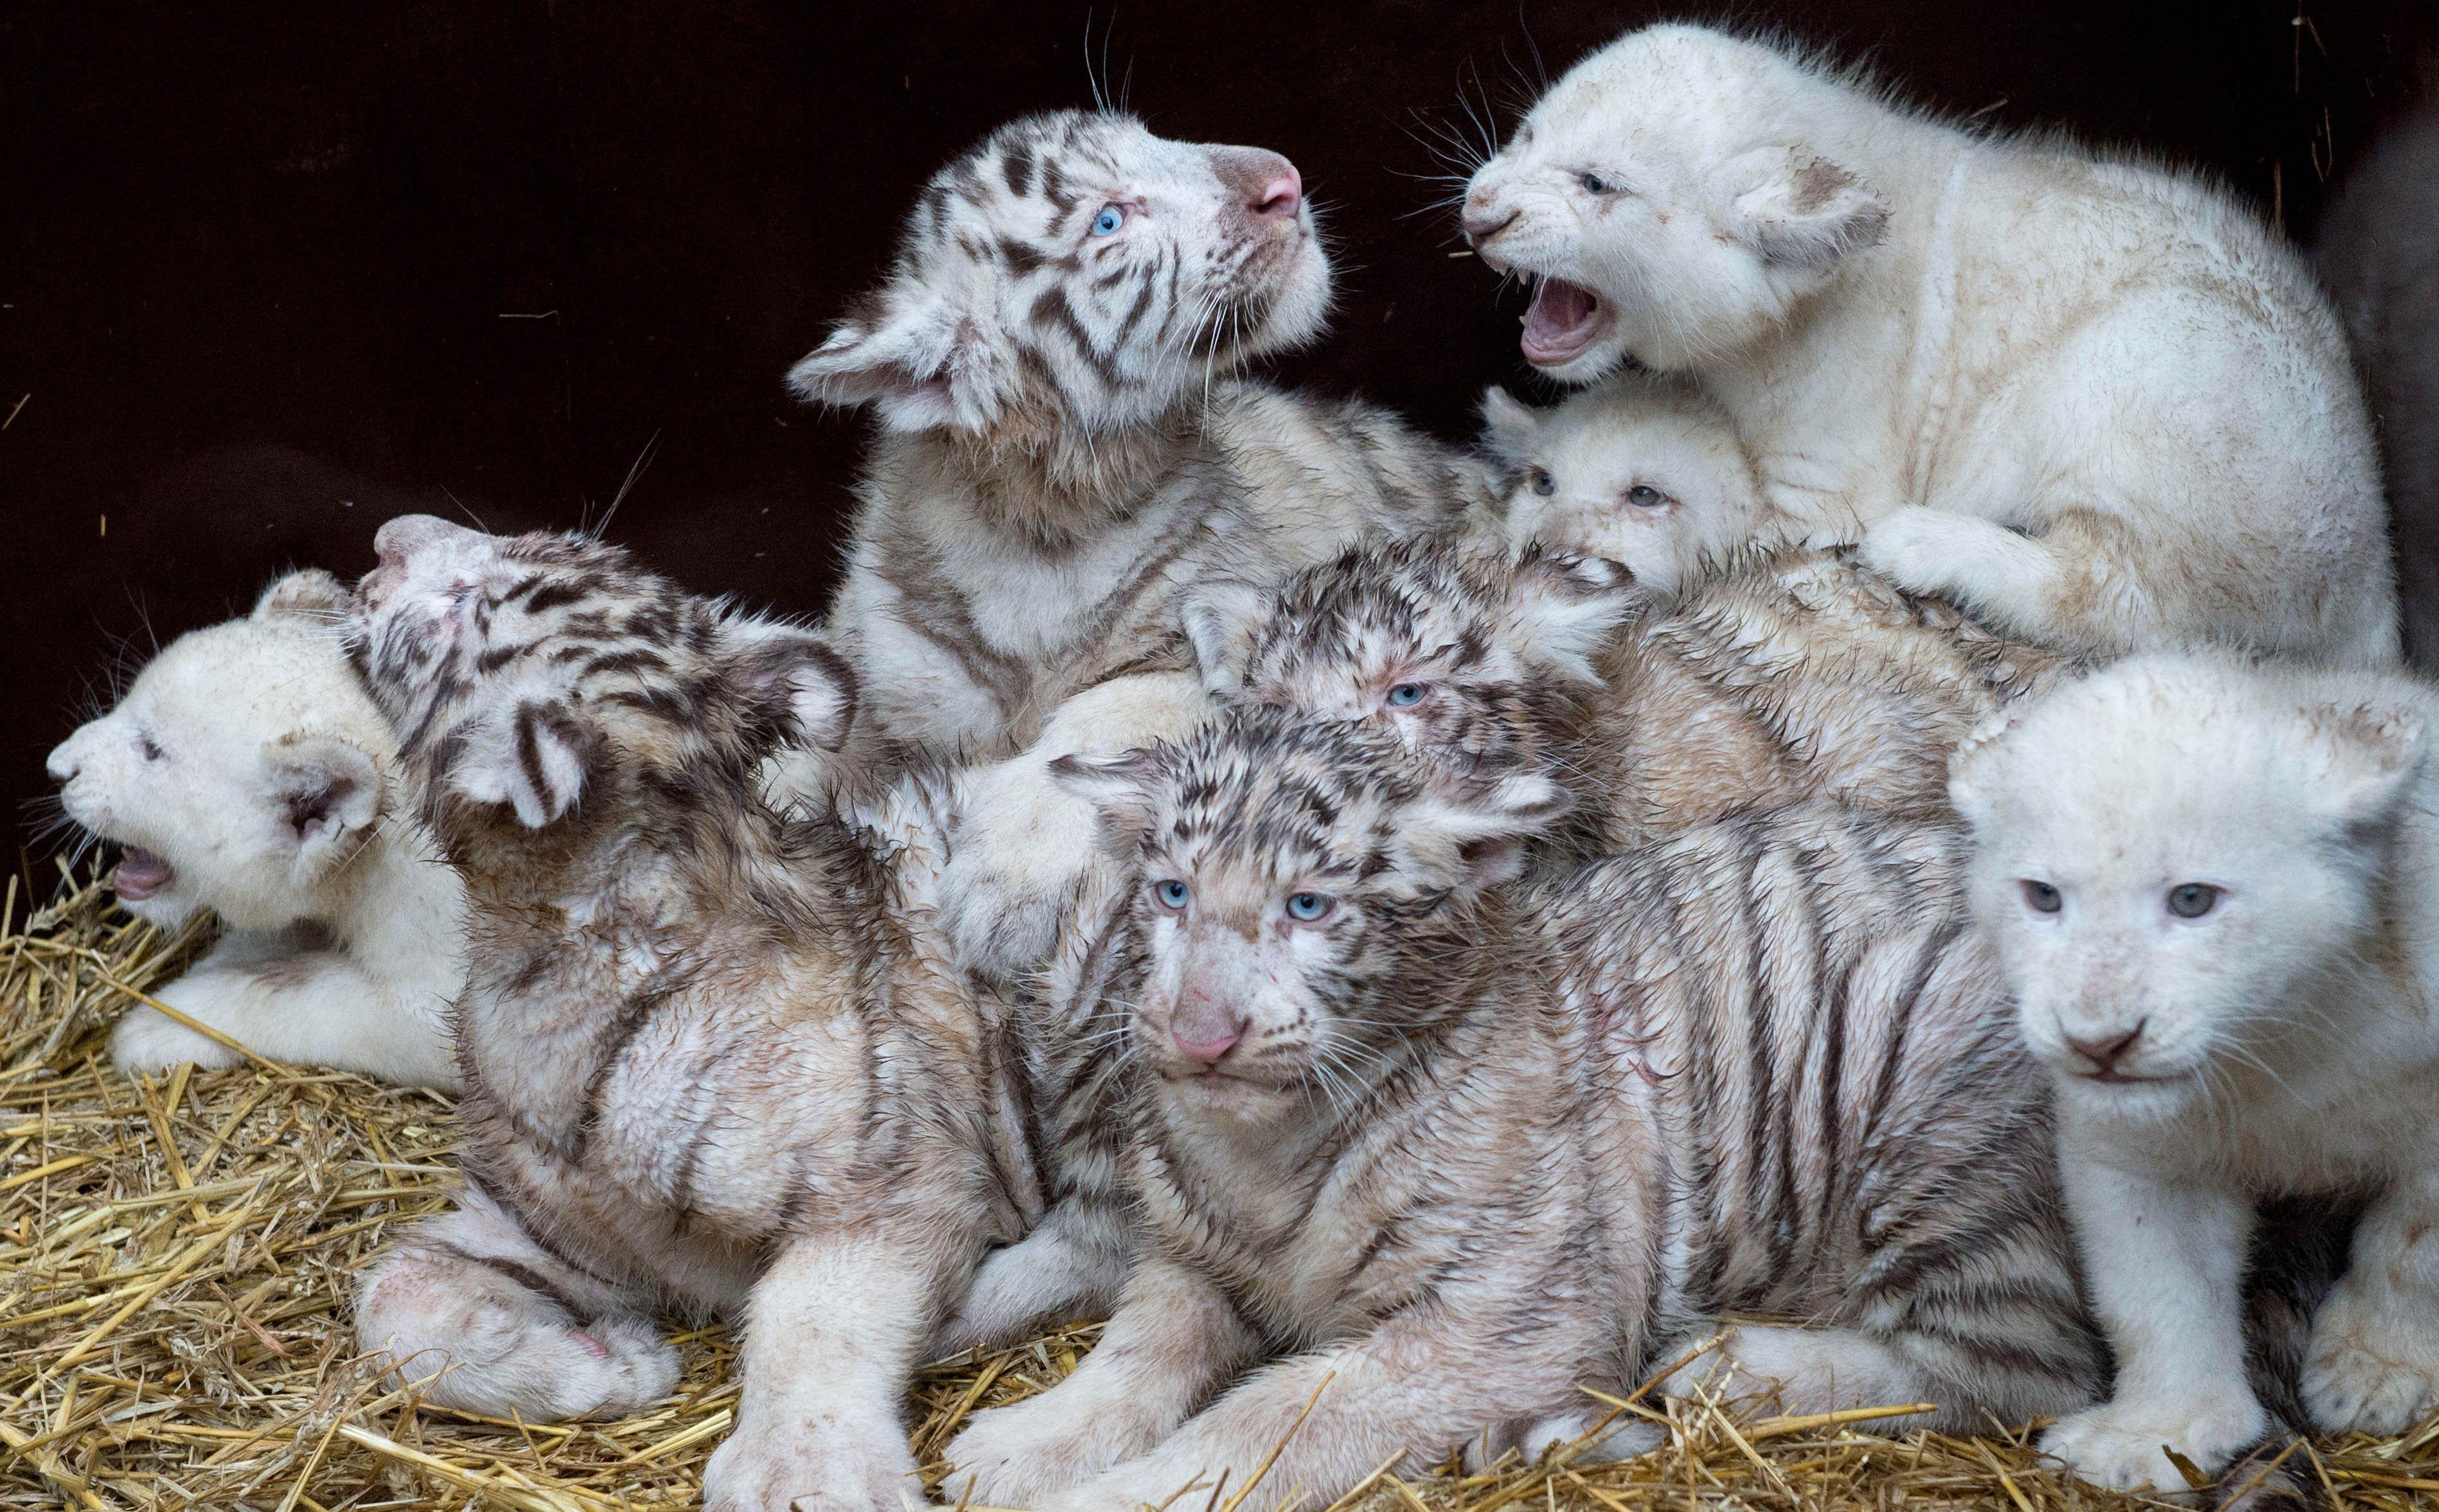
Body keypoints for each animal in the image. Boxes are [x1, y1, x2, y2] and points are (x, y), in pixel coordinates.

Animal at [344, 515, 1018, 1512]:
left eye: (462, 610)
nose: (387, 536)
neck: (539, 969)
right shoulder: (549, 1229)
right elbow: (393, 1300)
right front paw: (610, 1365)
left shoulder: (896, 1176)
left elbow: (814, 1311)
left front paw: (808, 1474)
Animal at [789, 108, 1495, 978]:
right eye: (1108, 221)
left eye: (1155, 137)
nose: (1283, 181)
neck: (1040, 515)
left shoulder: (1215, 648)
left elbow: (1104, 715)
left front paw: (1006, 888)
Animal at [939, 708, 2102, 1512]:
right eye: (1173, 892)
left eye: (1309, 906)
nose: (1199, 1032)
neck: (1266, 1146)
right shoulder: (1194, 1258)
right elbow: (1138, 1346)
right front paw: (1018, 1443)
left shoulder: (1501, 1321)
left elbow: (1276, 1414)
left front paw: (1109, 1495)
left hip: (1933, 1095)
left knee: (2031, 1369)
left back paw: (1727, 1366)